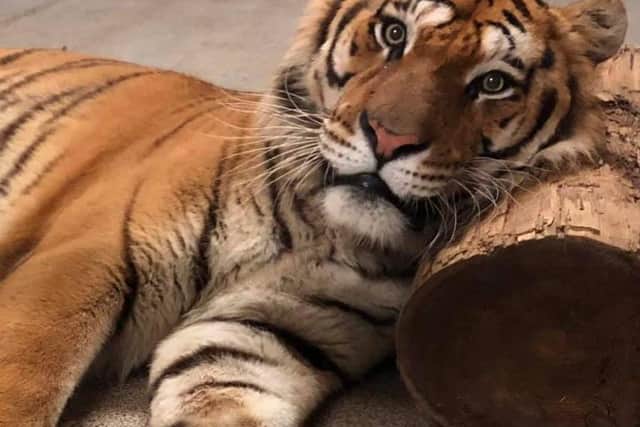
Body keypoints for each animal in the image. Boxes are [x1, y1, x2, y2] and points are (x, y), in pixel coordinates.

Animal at [0, 0, 627, 425]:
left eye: (493, 82)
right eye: (394, 34)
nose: (389, 138)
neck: (319, 229)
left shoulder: (254, 339)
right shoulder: (82, 265)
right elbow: (26, 384)